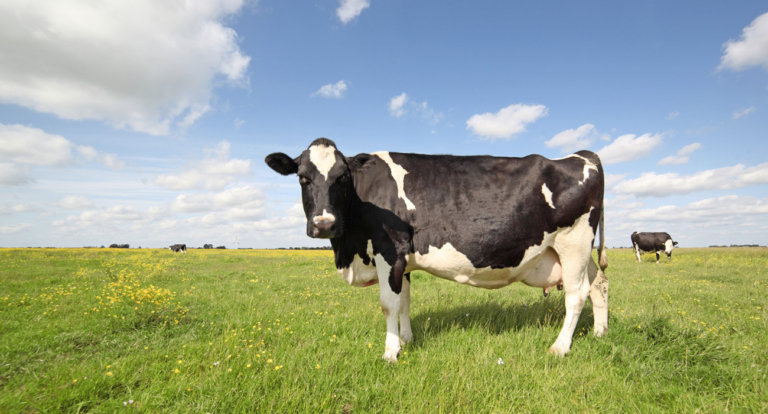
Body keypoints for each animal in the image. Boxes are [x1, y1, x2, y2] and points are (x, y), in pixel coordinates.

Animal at [265, 138, 609, 362]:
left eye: (342, 177)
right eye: (303, 178)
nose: (324, 224)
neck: (349, 250)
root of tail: (582, 155)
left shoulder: (389, 249)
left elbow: (389, 304)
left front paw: (390, 352)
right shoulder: (402, 261)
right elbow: (404, 301)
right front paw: (406, 340)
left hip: (574, 241)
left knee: (576, 294)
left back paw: (560, 348)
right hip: (577, 250)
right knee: (599, 283)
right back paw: (600, 333)